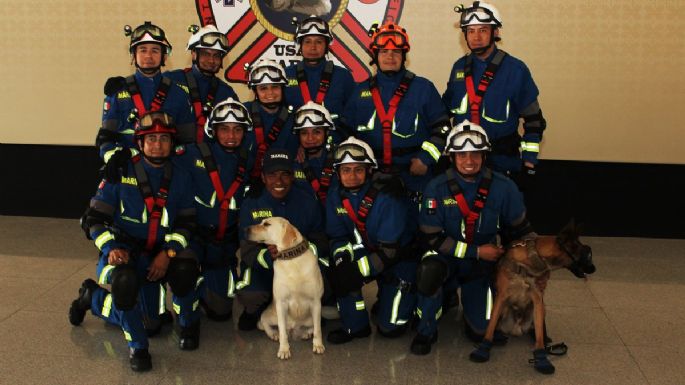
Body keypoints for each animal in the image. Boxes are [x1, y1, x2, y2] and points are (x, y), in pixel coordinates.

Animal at [244, 216, 324, 356]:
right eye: (261, 222)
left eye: (266, 224)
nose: (245, 229)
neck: (292, 261)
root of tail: (294, 328)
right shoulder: (281, 303)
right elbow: (282, 331)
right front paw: (284, 349)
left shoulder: (315, 302)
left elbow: (318, 329)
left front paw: (318, 345)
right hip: (273, 315)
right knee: (263, 320)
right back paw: (273, 334)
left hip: (311, 316)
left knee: (313, 326)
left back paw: (306, 333)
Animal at [470, 220, 592, 374]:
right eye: (588, 255)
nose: (594, 269)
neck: (530, 263)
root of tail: (517, 328)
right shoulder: (501, 297)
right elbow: (490, 326)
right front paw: (484, 348)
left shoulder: (538, 300)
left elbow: (539, 333)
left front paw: (541, 358)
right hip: (505, 310)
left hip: (542, 308)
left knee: (538, 328)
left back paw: (544, 339)